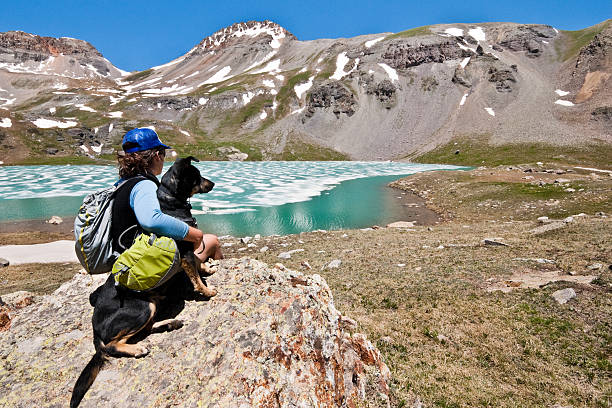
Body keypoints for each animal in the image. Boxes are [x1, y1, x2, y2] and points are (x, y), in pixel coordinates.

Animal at [70, 156, 218, 408]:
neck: (170, 202)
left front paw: (208, 268)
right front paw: (207, 291)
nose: (213, 183)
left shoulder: (189, 254)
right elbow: (196, 276)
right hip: (142, 308)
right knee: (111, 346)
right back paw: (137, 348)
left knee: (146, 328)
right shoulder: (186, 253)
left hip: (151, 306)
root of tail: (95, 330)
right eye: (197, 176)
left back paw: (170, 323)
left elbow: (199, 265)